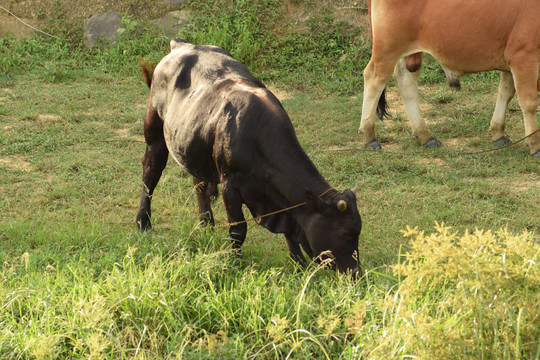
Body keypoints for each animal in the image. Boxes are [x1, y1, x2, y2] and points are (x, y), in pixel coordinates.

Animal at [360, 0, 540, 156]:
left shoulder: (509, 61)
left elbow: (505, 94)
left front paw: (498, 133)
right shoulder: (523, 56)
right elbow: (528, 103)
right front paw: (535, 145)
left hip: (408, 52)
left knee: (405, 81)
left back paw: (425, 136)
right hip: (387, 49)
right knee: (374, 79)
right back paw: (369, 137)